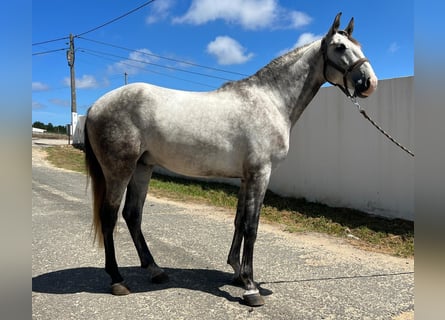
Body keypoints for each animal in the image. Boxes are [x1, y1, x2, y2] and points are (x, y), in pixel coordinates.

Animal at [83, 12, 374, 306]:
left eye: (359, 46)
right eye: (340, 47)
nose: (369, 83)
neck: (270, 101)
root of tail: (95, 106)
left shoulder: (246, 177)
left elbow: (239, 221)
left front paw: (238, 273)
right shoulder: (260, 174)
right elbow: (252, 226)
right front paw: (251, 288)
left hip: (143, 167)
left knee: (133, 214)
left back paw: (155, 270)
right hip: (120, 170)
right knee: (109, 216)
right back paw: (117, 280)